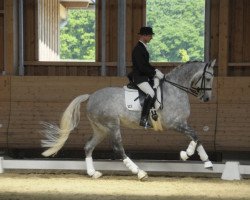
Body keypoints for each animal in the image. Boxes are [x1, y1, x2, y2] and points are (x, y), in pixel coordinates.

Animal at [41, 59, 215, 180]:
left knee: (88, 146)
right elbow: (195, 136)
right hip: (112, 125)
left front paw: (207, 162)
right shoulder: (175, 123)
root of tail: (91, 96)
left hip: (100, 129)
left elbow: (197, 137)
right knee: (118, 148)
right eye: (208, 78)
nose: (206, 98)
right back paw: (139, 172)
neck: (174, 89)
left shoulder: (182, 123)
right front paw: (186, 154)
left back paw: (93, 173)